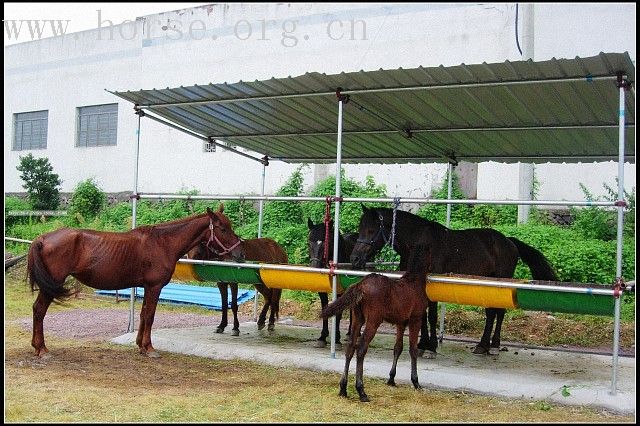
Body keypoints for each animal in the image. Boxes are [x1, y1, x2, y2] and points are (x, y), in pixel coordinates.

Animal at [26, 205, 242, 358]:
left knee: (37, 310)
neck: (163, 243)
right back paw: (42, 349)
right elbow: (150, 316)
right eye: (223, 228)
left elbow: (143, 314)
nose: (239, 253)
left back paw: (38, 347)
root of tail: (43, 238)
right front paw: (149, 348)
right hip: (51, 285)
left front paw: (140, 346)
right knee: (39, 310)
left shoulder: (147, 287)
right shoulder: (154, 287)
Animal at [322, 243, 432, 402]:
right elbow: (413, 349)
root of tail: (360, 285)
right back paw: (361, 391)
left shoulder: (400, 323)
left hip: (358, 319)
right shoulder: (415, 320)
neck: (414, 282)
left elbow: (398, 348)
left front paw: (391, 379)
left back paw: (343, 388)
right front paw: (416, 382)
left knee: (351, 347)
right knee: (361, 349)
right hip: (373, 321)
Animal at [350, 206, 556, 356]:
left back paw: (493, 345)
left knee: (498, 312)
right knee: (491, 313)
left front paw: (431, 346)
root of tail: (509, 241)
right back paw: (483, 345)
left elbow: (431, 315)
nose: (355, 259)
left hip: (500, 283)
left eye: (371, 230)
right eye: (360, 229)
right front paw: (422, 343)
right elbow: (422, 315)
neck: (419, 243)